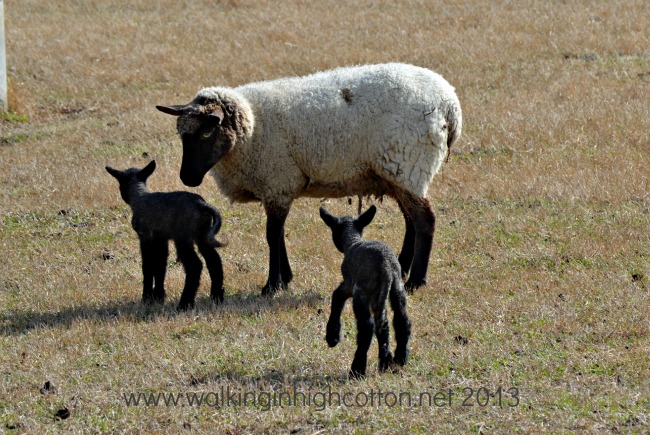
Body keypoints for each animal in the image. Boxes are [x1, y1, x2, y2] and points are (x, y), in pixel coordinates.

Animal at [105, 160, 226, 310]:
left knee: (195, 265)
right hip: (203, 234)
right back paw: (216, 297)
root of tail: (200, 204)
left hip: (183, 237)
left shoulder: (145, 236)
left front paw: (147, 298)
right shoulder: (161, 238)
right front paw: (159, 296)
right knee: (214, 260)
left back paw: (184, 304)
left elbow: (147, 266)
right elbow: (161, 265)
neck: (138, 198)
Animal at [156, 62, 462, 295]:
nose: (187, 177)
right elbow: (278, 235)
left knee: (425, 221)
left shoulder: (277, 181)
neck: (252, 128)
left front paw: (273, 285)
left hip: (409, 164)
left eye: (207, 133)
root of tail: (449, 102)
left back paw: (416, 280)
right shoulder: (277, 187)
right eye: (182, 135)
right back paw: (402, 266)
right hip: (399, 173)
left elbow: (272, 235)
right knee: (411, 221)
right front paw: (286, 278)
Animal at [320, 205, 411, 379]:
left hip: (362, 292)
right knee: (399, 320)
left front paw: (332, 337)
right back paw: (397, 359)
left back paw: (357, 369)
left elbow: (337, 296)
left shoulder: (350, 285)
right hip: (396, 288)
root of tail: (385, 267)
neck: (352, 242)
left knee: (367, 327)